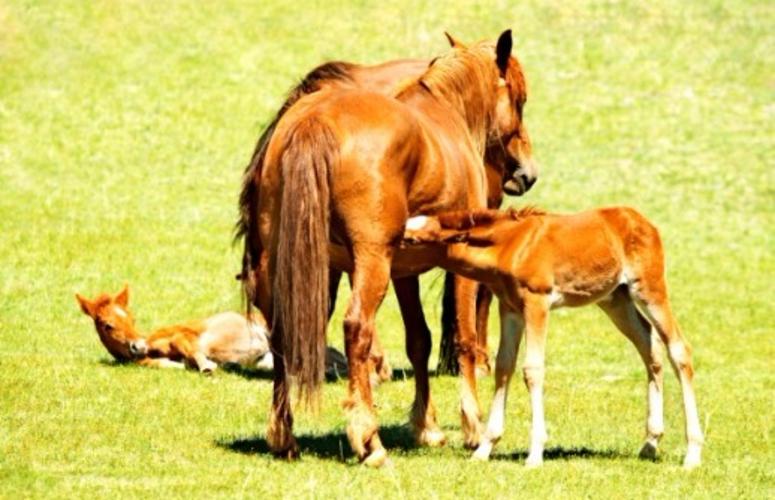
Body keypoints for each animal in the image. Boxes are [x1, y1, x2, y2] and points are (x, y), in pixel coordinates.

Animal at [74, 288, 272, 374]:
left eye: (132, 319)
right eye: (108, 326)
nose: (138, 346)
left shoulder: (188, 333)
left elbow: (183, 342)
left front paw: (207, 366)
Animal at [246, 31, 536, 466]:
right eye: (520, 98)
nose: (526, 172)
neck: (445, 112)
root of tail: (316, 119)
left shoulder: (405, 272)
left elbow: (420, 341)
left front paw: (427, 427)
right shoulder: (455, 269)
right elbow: (466, 339)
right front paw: (472, 427)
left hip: (292, 263)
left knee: (283, 330)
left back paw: (284, 436)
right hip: (370, 264)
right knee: (357, 328)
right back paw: (369, 440)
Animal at [406, 207, 704, 468]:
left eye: (411, 240)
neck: (510, 245)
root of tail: (642, 221)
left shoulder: (537, 302)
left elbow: (532, 370)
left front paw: (535, 453)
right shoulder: (510, 308)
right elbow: (504, 367)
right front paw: (484, 449)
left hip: (649, 289)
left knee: (678, 349)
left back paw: (692, 453)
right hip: (614, 299)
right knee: (649, 345)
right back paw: (650, 443)